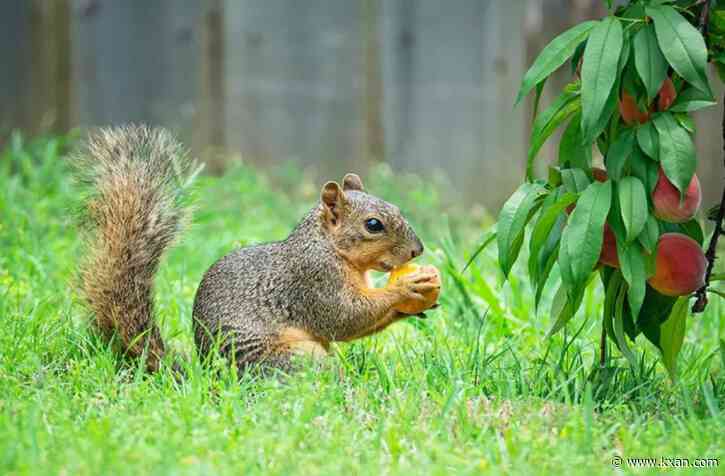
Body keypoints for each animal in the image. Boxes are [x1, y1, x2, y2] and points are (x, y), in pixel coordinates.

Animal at [73, 125, 439, 373]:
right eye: (373, 225)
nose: (417, 251)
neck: (328, 247)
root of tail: (211, 376)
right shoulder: (313, 282)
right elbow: (344, 317)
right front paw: (407, 287)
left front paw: (415, 305)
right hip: (295, 358)